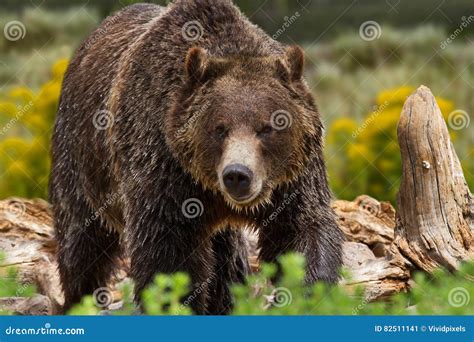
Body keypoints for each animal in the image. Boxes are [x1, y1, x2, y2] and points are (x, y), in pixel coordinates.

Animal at [50, 0, 342, 316]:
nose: (237, 175)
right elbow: (168, 255)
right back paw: (79, 299)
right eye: (219, 128)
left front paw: (307, 295)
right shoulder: (164, 167)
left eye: (268, 127)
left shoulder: (293, 178)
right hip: (81, 161)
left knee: (226, 259)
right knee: (82, 243)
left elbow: (300, 231)